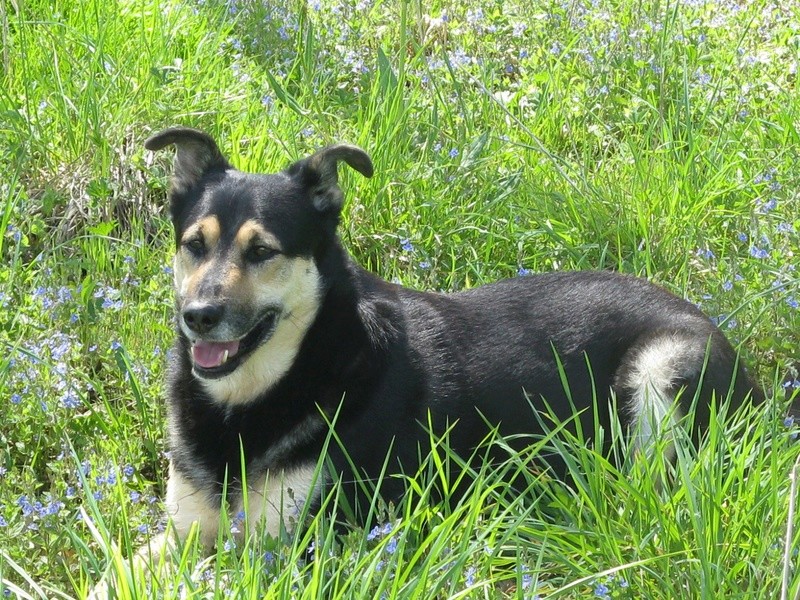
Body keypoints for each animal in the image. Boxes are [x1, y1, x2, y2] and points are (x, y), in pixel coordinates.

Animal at [90, 125, 760, 592]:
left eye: (263, 252)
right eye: (193, 245)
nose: (199, 316)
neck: (251, 397)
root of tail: (715, 326)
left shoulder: (292, 550)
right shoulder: (184, 533)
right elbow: (113, 574)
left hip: (660, 372)